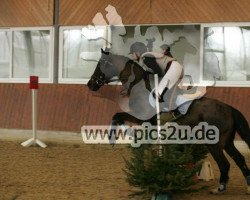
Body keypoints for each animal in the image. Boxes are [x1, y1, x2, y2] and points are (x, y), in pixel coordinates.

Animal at [86, 48, 250, 194]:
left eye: (100, 65)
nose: (90, 85)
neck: (138, 86)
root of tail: (229, 108)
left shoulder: (143, 118)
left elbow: (118, 116)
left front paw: (115, 138)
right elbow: (118, 116)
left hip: (214, 143)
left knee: (225, 163)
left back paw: (220, 188)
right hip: (227, 142)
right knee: (239, 159)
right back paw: (244, 186)